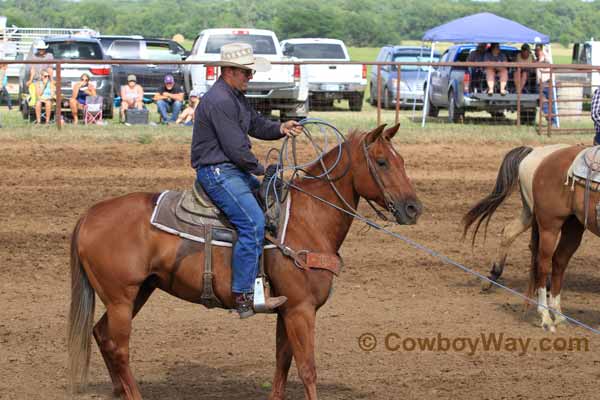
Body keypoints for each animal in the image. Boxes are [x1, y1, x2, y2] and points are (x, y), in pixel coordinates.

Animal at [67, 123, 422, 398]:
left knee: (102, 335)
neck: (307, 220)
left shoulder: (287, 311)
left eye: (402, 160)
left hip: (139, 292)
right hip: (121, 298)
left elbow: (282, 366)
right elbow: (307, 369)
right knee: (119, 347)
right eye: (382, 162)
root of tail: (89, 214)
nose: (414, 208)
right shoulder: (301, 310)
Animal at [524, 144, 592, 332]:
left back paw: (559, 316)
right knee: (543, 264)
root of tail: (545, 160)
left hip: (573, 226)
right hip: (549, 227)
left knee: (559, 262)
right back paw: (546, 317)